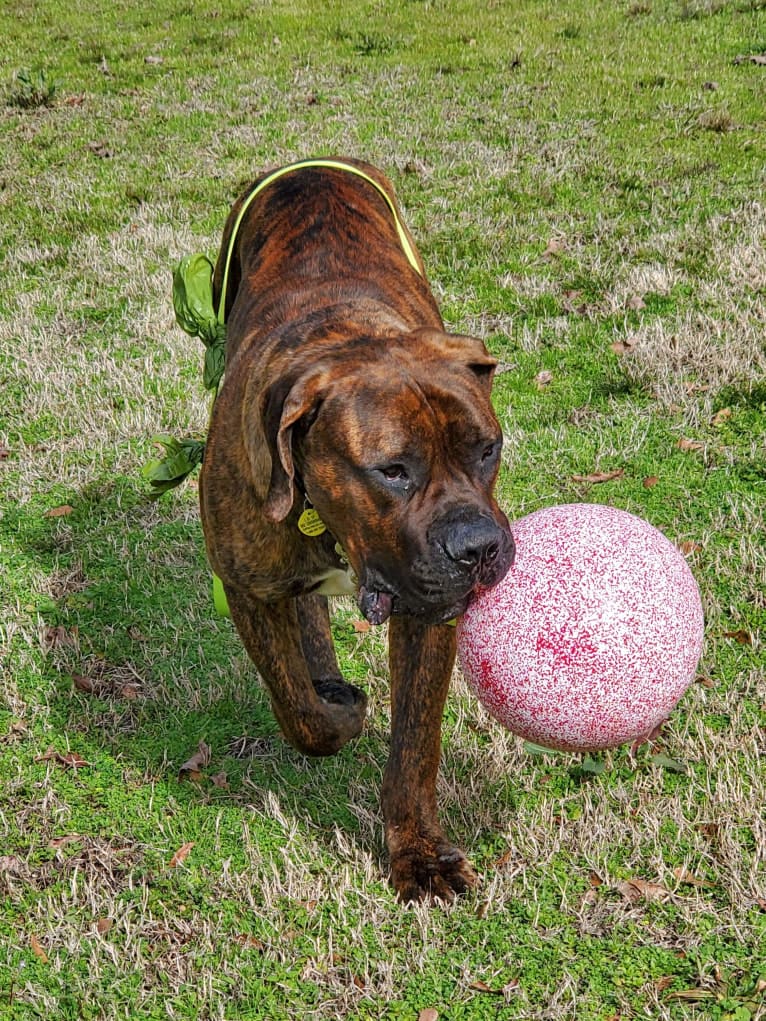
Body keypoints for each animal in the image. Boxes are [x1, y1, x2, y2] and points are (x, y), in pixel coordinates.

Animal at [201, 159, 518, 902]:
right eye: (392, 471)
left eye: (486, 450)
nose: (478, 548)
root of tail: (313, 166)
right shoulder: (246, 584)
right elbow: (297, 707)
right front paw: (338, 710)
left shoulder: (428, 607)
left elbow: (414, 745)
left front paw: (418, 854)